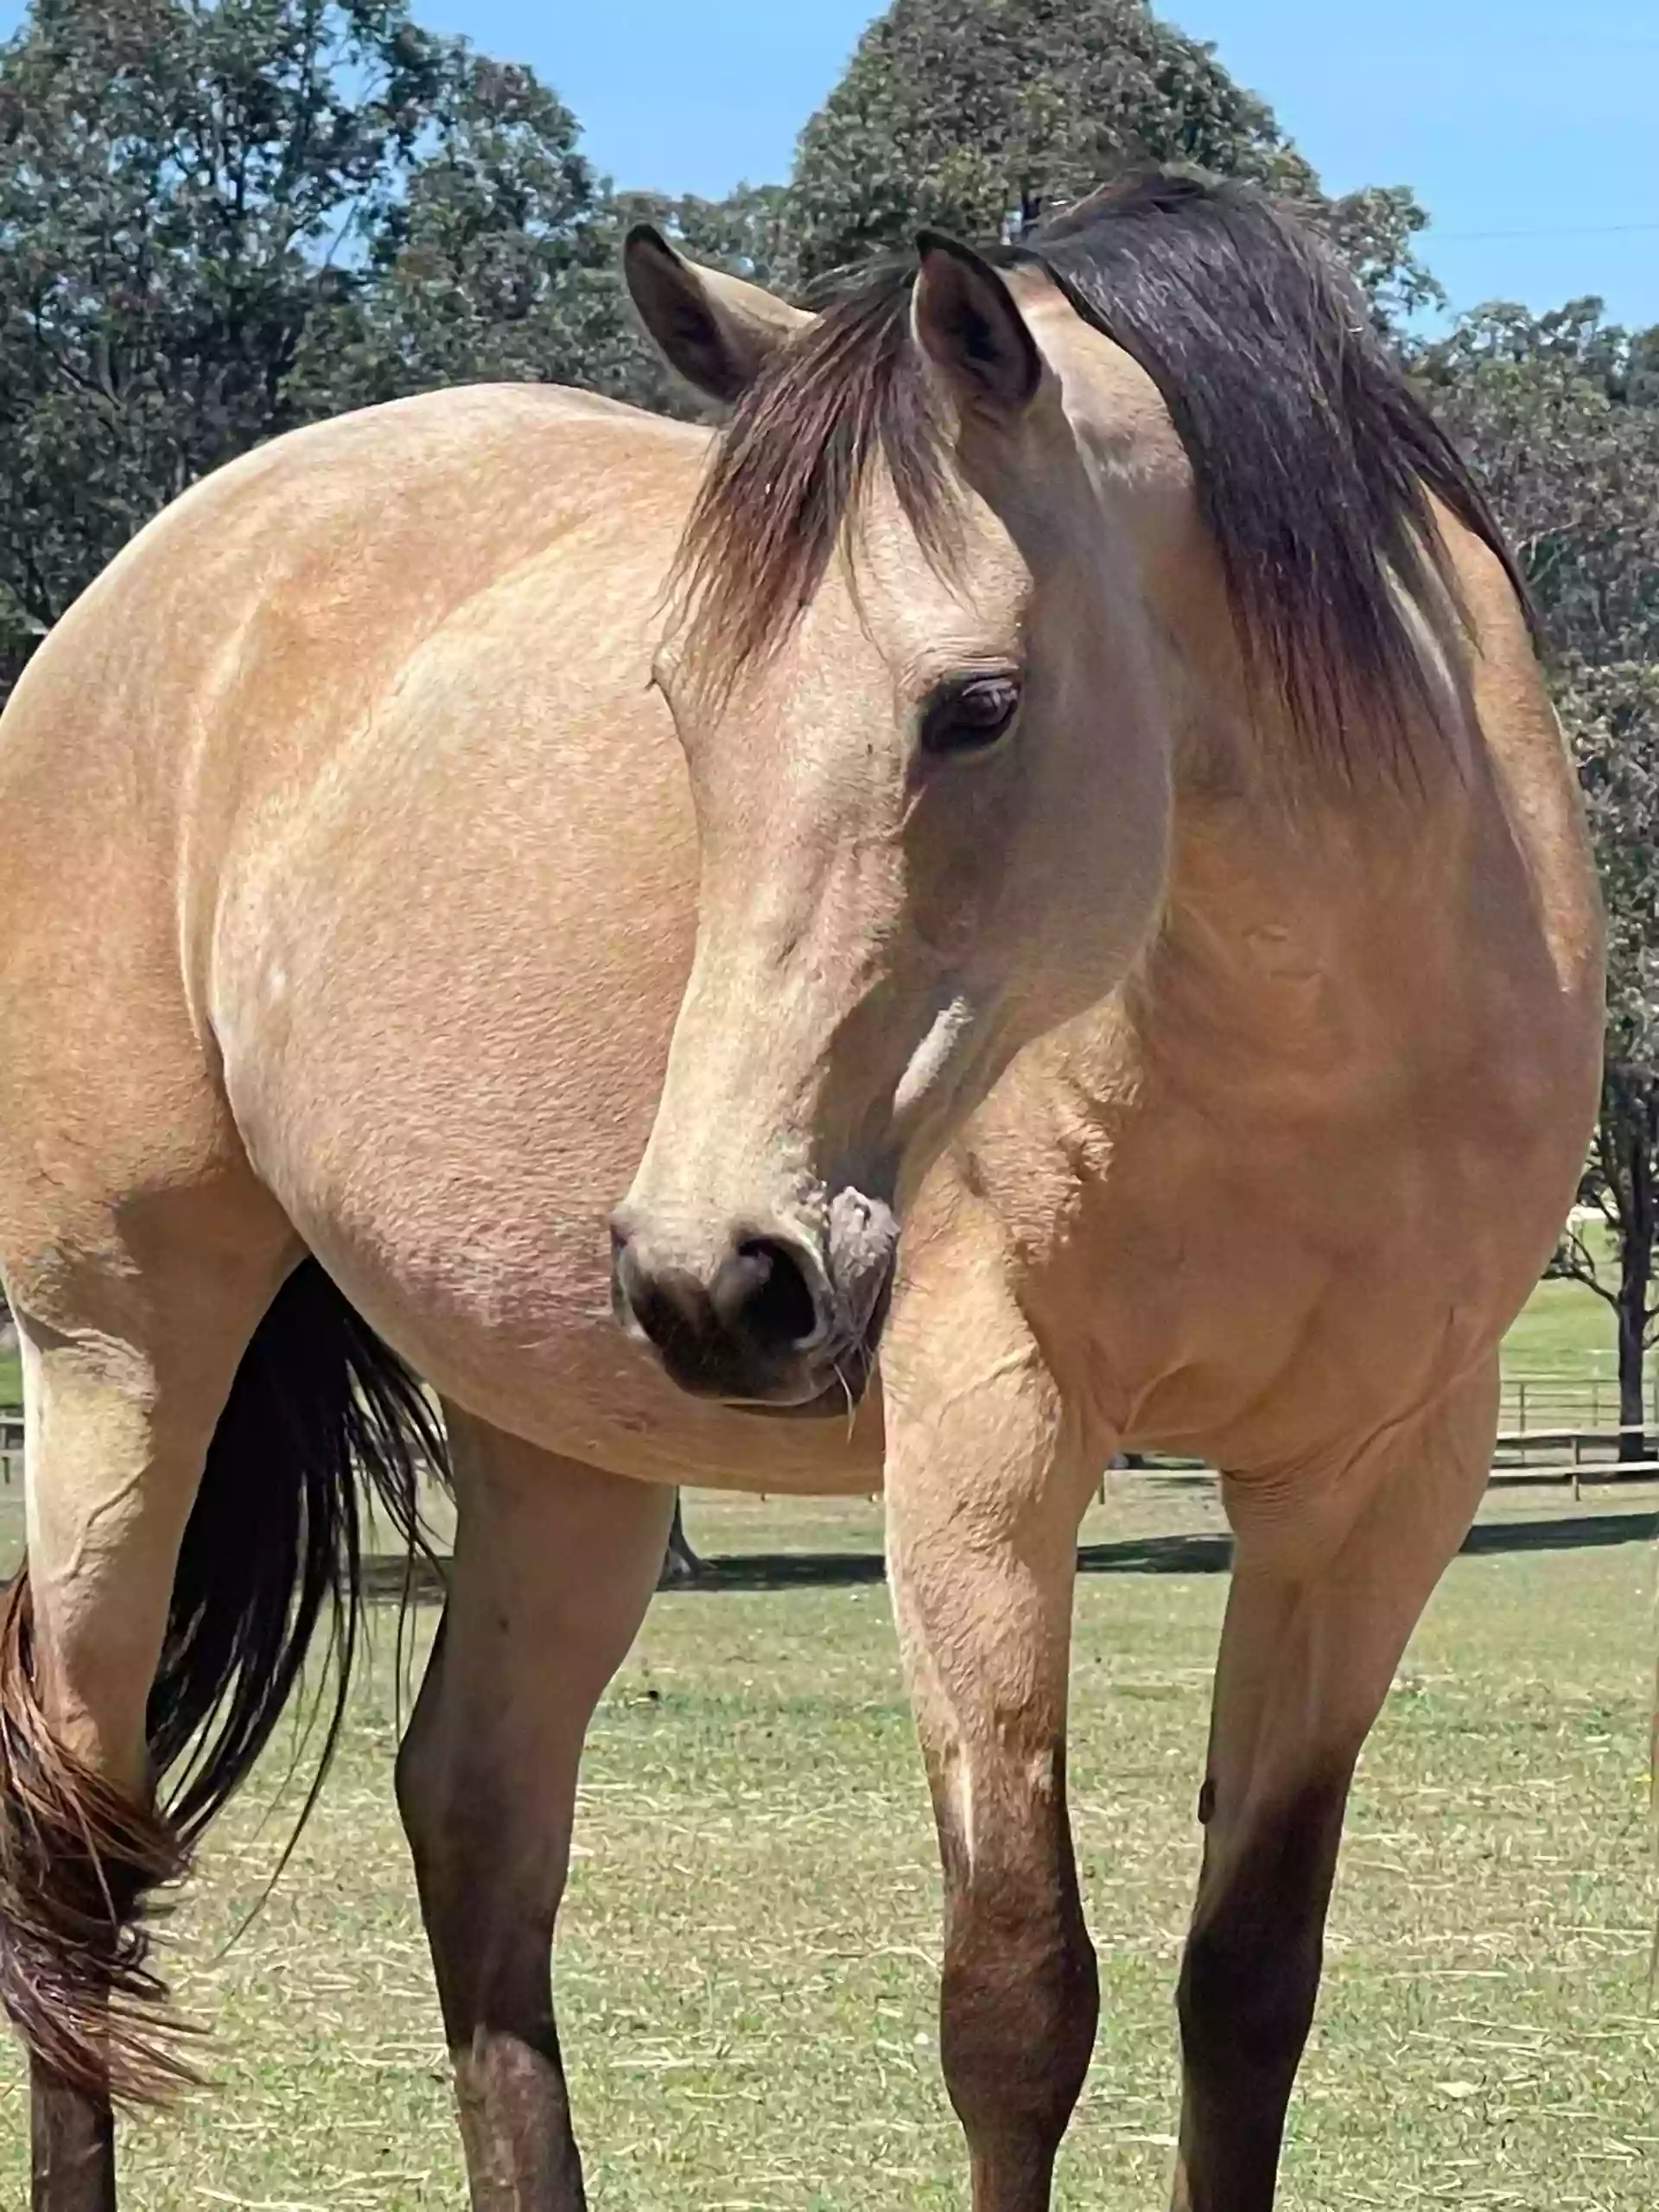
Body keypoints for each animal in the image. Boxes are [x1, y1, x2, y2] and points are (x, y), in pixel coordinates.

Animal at [3, 176, 1610, 2212]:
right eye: (681, 704)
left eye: (976, 706)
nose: (720, 1271)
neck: (1320, 1030)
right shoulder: (988, 1444)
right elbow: (1017, 2002)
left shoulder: (1375, 1488)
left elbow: (1248, 1985)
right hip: (121, 1355)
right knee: (76, 1833)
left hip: (558, 1438)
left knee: (474, 1812)